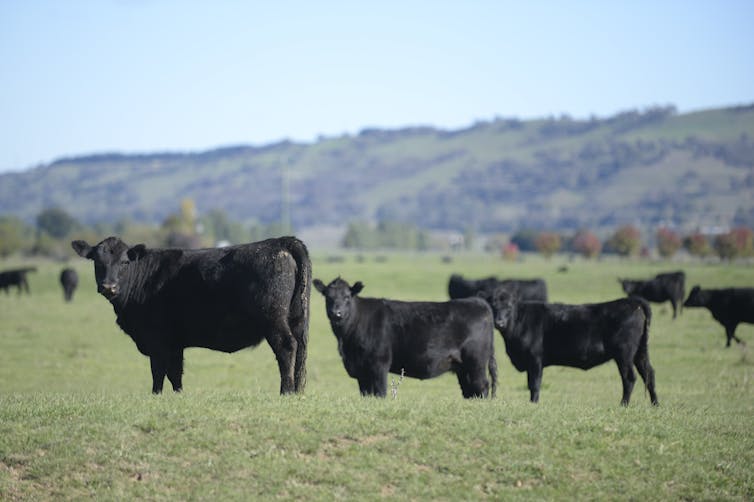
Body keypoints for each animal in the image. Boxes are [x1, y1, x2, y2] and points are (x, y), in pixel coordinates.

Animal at [72, 236, 312, 396]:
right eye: (97, 262)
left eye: (124, 262)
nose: (108, 287)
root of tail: (281, 242)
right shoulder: (175, 343)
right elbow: (175, 373)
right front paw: (178, 396)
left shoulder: (157, 340)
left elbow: (158, 371)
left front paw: (155, 395)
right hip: (297, 319)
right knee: (300, 349)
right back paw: (297, 391)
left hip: (274, 320)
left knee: (286, 347)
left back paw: (286, 391)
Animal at [314, 276, 496, 398]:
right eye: (328, 297)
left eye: (347, 297)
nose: (336, 313)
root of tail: (478, 301)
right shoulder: (361, 370)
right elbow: (366, 393)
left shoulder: (379, 364)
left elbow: (380, 392)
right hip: (463, 367)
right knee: (470, 389)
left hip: (476, 362)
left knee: (482, 386)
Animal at [478, 288, 656, 406]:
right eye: (493, 305)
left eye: (509, 306)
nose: (499, 322)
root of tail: (634, 302)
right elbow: (531, 384)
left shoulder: (535, 359)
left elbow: (534, 384)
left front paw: (534, 403)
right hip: (640, 352)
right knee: (649, 374)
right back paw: (655, 404)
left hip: (624, 354)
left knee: (629, 378)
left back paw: (623, 404)